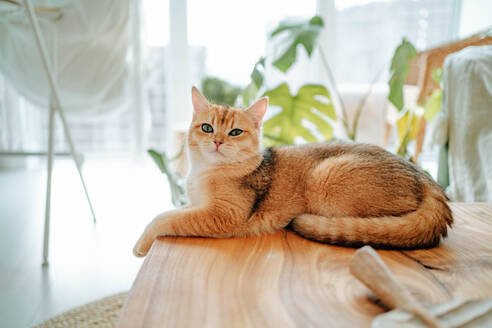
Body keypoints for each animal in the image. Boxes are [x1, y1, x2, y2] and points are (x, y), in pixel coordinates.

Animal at [133, 87, 452, 256]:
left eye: (235, 132)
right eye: (207, 128)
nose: (217, 141)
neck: (204, 172)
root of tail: (424, 176)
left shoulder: (224, 215)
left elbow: (166, 218)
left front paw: (141, 243)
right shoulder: (200, 205)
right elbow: (177, 210)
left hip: (326, 176)